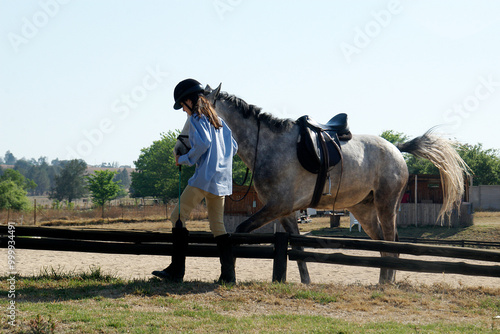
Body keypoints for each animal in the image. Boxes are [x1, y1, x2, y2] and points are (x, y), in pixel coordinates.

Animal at [175, 85, 468, 284]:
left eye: (197, 116)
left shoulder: (276, 206)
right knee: (384, 243)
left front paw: (229, 271)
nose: (179, 148)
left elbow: (241, 231)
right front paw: (305, 282)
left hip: (386, 205)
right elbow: (297, 247)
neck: (267, 145)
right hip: (364, 210)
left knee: (390, 244)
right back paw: (385, 281)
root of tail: (396, 148)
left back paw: (386, 283)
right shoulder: (285, 211)